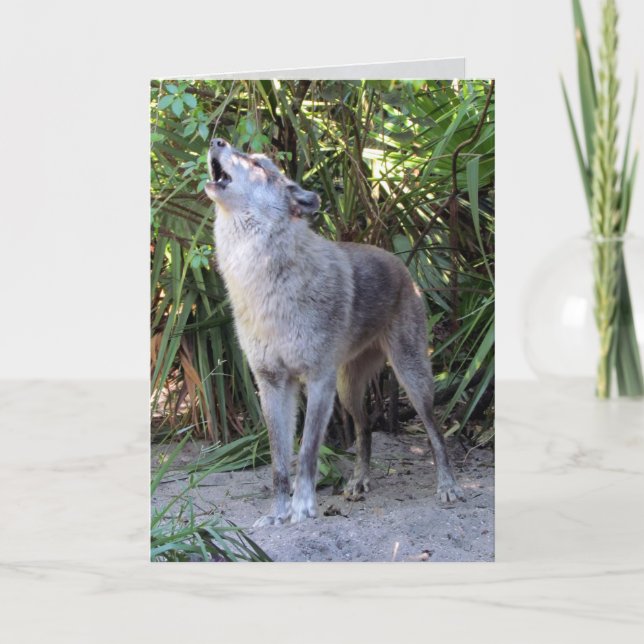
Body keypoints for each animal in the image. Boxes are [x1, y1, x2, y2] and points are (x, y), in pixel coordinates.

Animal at [204, 138, 463, 526]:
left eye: (258, 164)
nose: (216, 140)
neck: (263, 282)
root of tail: (399, 262)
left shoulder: (317, 380)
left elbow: (307, 453)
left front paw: (302, 509)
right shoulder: (272, 383)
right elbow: (279, 464)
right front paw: (277, 515)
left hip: (411, 380)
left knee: (435, 430)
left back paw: (447, 486)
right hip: (348, 389)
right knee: (365, 428)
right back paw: (357, 483)